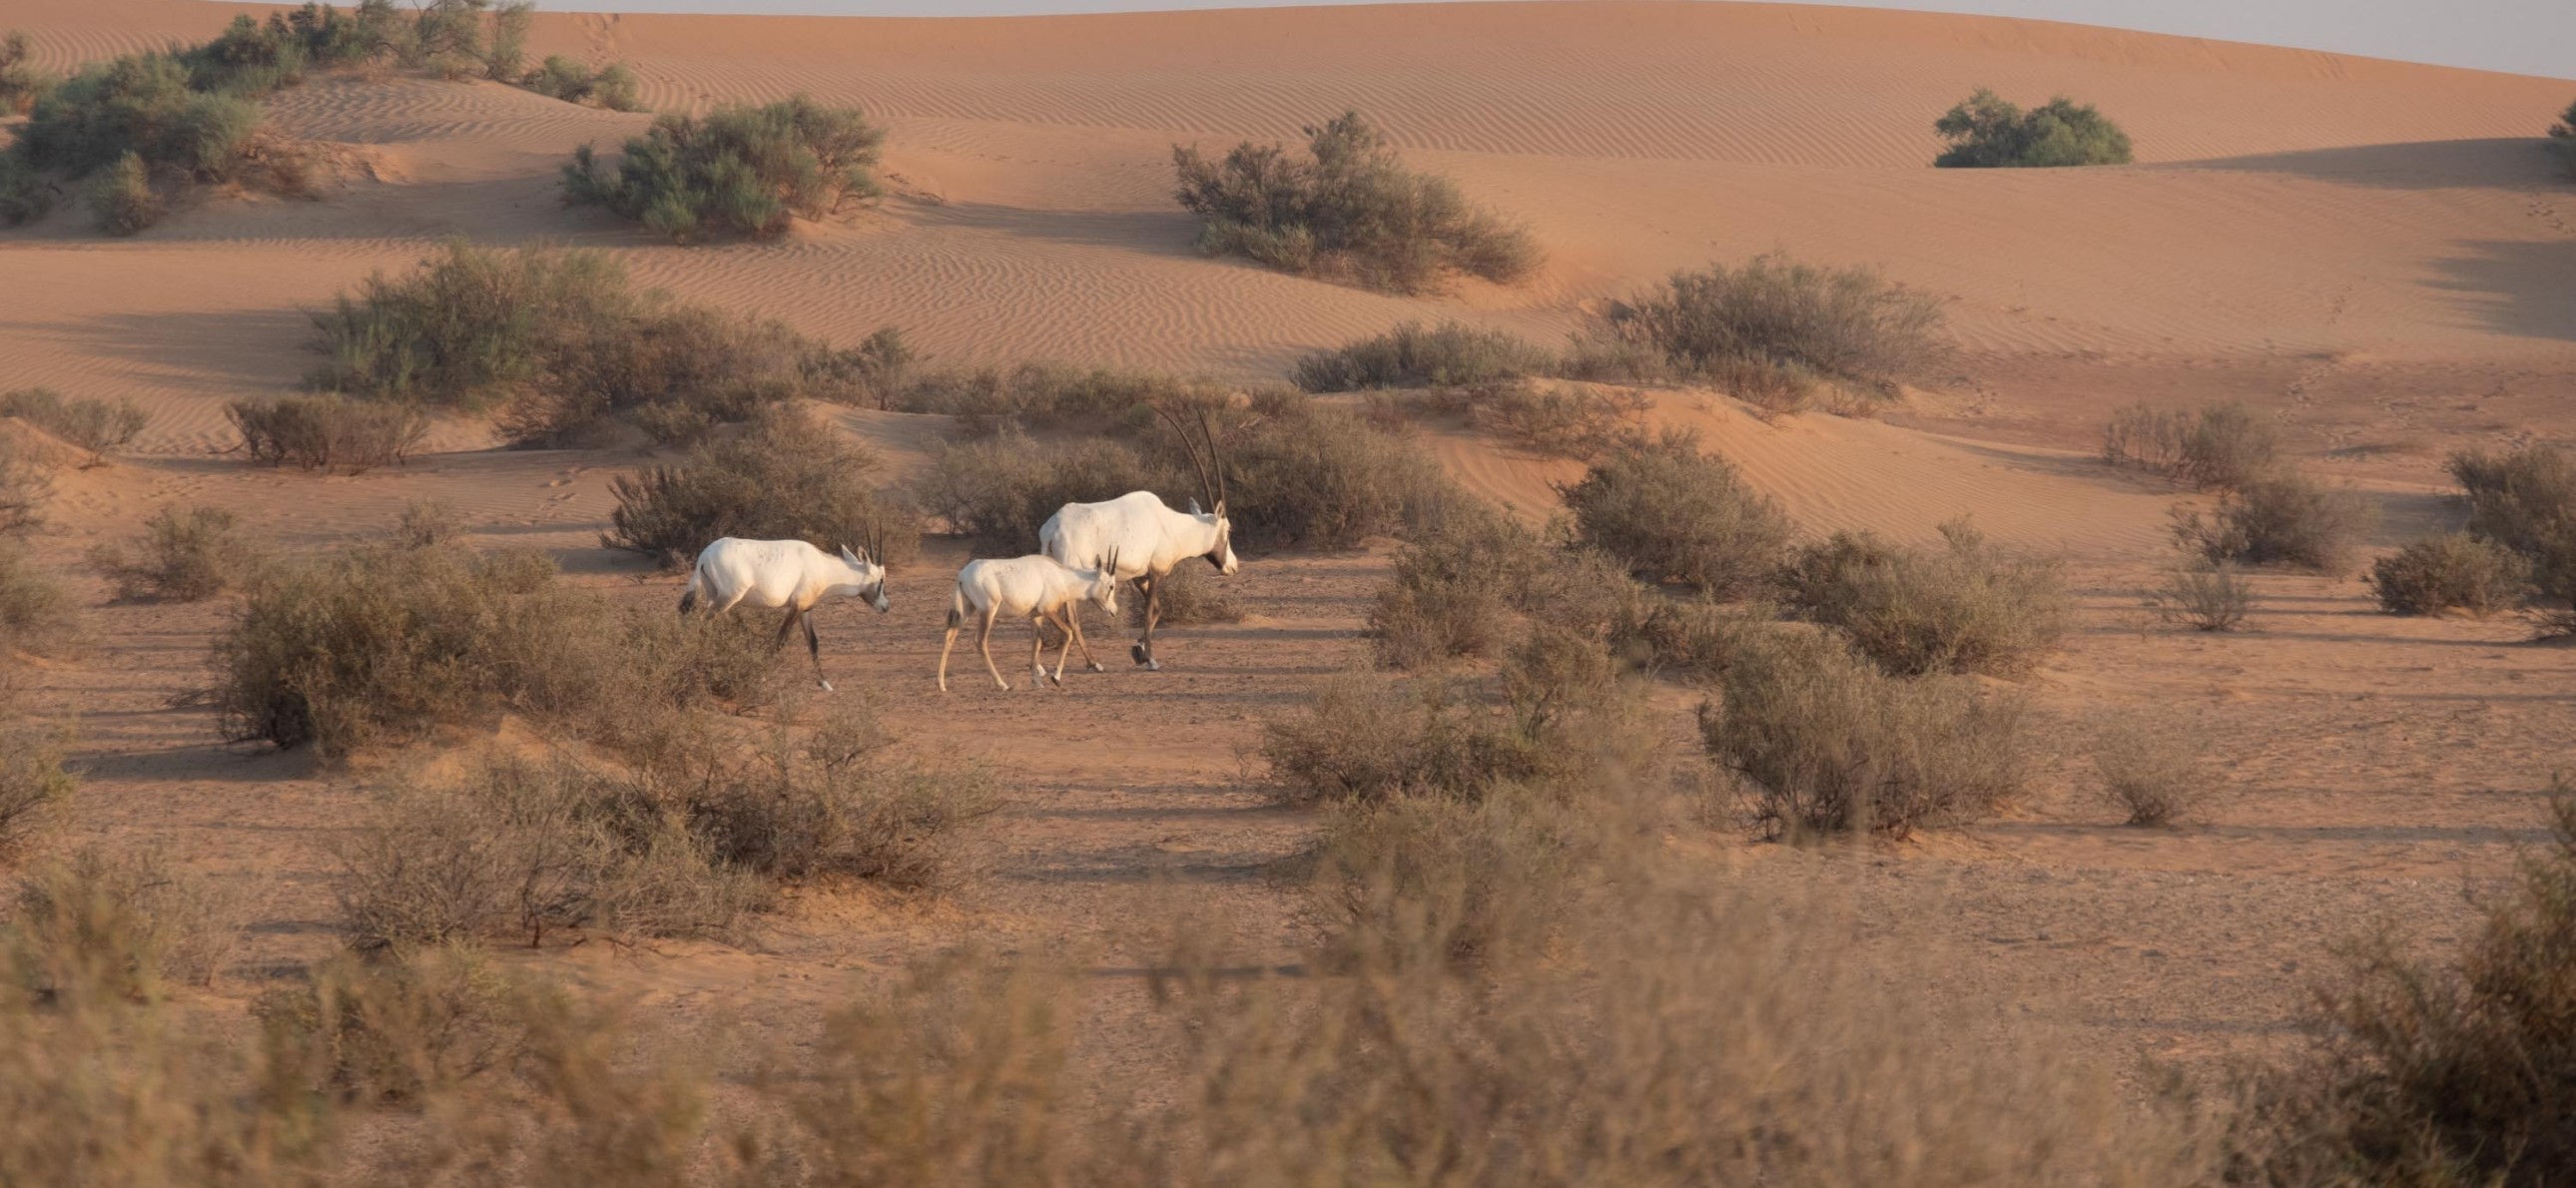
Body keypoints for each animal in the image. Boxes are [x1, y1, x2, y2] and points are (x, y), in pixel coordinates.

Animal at [680, 535, 891, 690]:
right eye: (881, 580)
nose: (885, 607)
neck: (824, 568)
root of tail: (704, 556)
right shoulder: (795, 607)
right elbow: (780, 641)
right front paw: (762, 677)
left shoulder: (805, 609)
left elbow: (813, 642)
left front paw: (825, 684)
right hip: (727, 599)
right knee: (700, 622)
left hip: (714, 597)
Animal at [938, 551, 1117, 690]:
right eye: (1111, 586)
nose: (1114, 611)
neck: (1061, 576)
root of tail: (962, 576)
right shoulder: (1048, 611)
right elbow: (1069, 634)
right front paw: (1056, 678)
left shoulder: (1035, 614)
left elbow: (1036, 642)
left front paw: (1037, 681)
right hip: (988, 611)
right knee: (980, 641)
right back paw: (1002, 684)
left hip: (966, 610)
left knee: (950, 636)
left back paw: (941, 684)